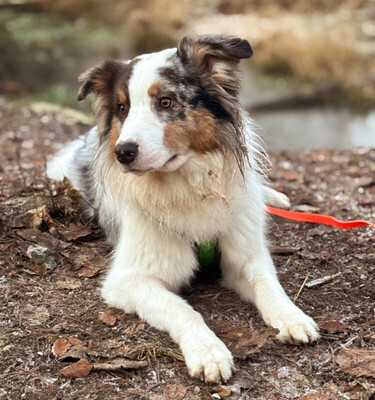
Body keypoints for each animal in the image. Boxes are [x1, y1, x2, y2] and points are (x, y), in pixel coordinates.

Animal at [46, 36, 318, 382]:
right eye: (122, 108)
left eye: (165, 101)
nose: (123, 152)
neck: (188, 186)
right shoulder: (128, 281)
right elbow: (183, 309)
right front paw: (208, 351)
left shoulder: (245, 254)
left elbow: (268, 284)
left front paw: (291, 316)